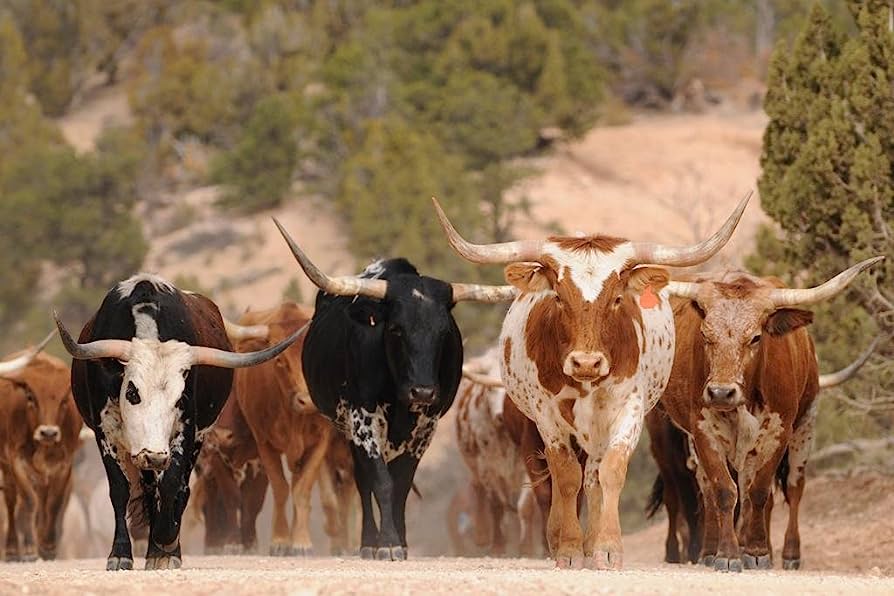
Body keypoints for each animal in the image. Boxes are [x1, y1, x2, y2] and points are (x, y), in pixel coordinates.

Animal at [0, 344, 83, 564]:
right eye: (31, 397)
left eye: (64, 399)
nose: (48, 432)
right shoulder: (17, 461)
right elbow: (29, 501)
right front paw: (30, 549)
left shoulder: (65, 464)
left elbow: (54, 503)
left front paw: (48, 548)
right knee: (11, 501)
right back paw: (12, 550)